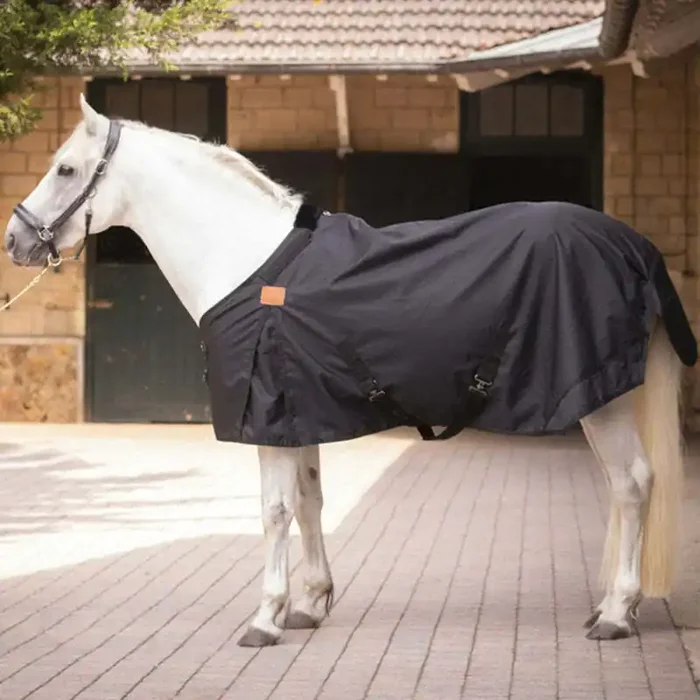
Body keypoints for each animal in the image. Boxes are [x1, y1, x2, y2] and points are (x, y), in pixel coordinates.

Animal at [3, 94, 696, 648]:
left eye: (65, 169)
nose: (16, 240)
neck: (251, 265)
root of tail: (634, 246)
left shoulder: (266, 418)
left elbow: (274, 511)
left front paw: (265, 619)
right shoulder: (297, 413)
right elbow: (311, 501)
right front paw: (311, 604)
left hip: (599, 402)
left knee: (632, 485)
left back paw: (617, 613)